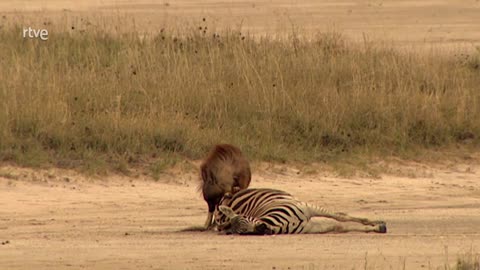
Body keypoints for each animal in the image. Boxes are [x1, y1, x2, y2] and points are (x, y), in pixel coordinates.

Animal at [214, 188, 386, 234]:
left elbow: (341, 216)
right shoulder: (312, 227)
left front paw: (376, 223)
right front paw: (375, 228)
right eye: (242, 233)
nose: (262, 229)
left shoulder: (308, 208)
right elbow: (341, 226)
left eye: (245, 218)